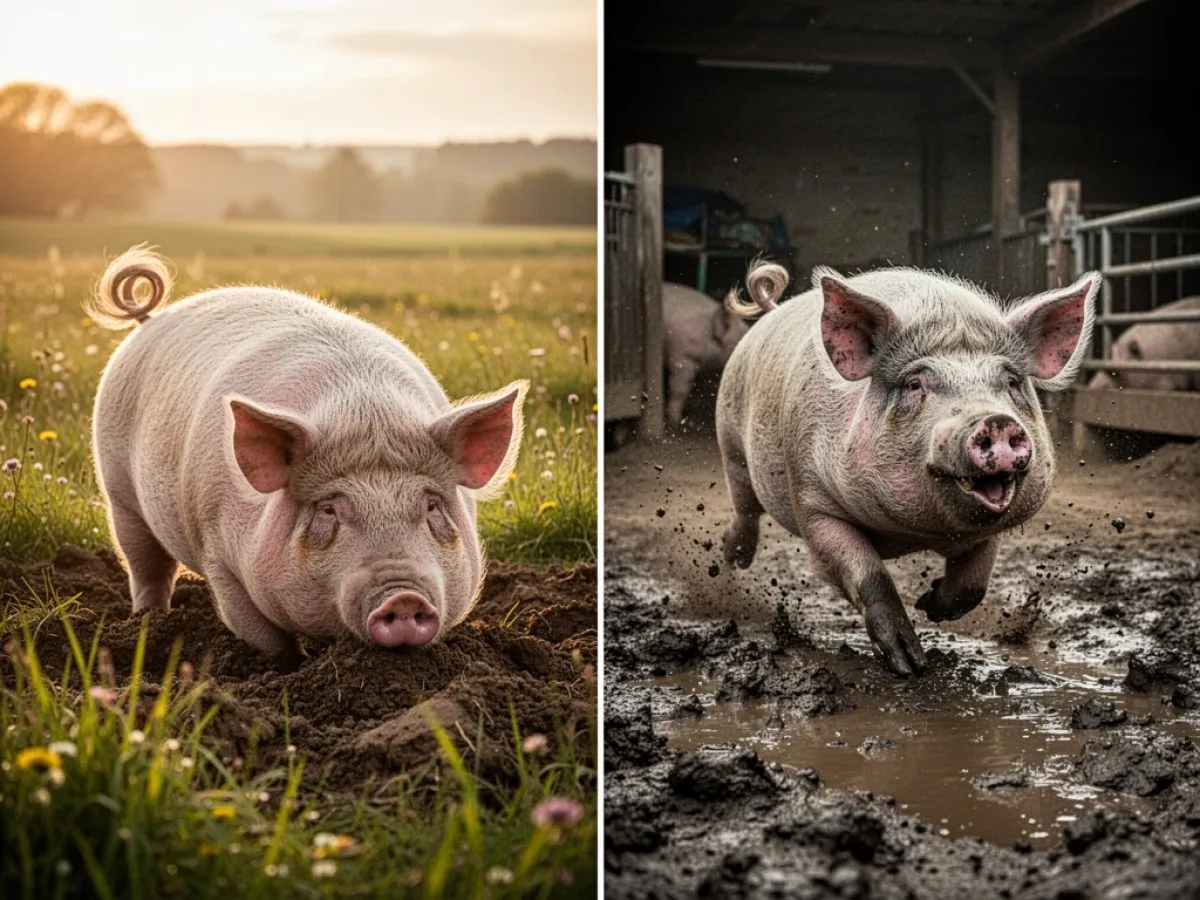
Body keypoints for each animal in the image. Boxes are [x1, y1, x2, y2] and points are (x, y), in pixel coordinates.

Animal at [87, 246, 527, 656]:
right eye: (329, 510)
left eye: (432, 506)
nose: (403, 597)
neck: (366, 412)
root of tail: (150, 318)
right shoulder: (218, 555)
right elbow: (266, 639)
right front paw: (290, 666)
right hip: (119, 491)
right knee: (146, 565)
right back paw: (148, 620)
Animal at [716, 261, 1098, 676]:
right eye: (915, 384)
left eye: (1011, 381)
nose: (996, 421)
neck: (914, 536)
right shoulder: (812, 499)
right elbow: (868, 574)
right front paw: (910, 664)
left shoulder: (991, 527)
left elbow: (973, 583)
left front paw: (929, 606)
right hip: (730, 440)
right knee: (744, 504)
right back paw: (733, 557)